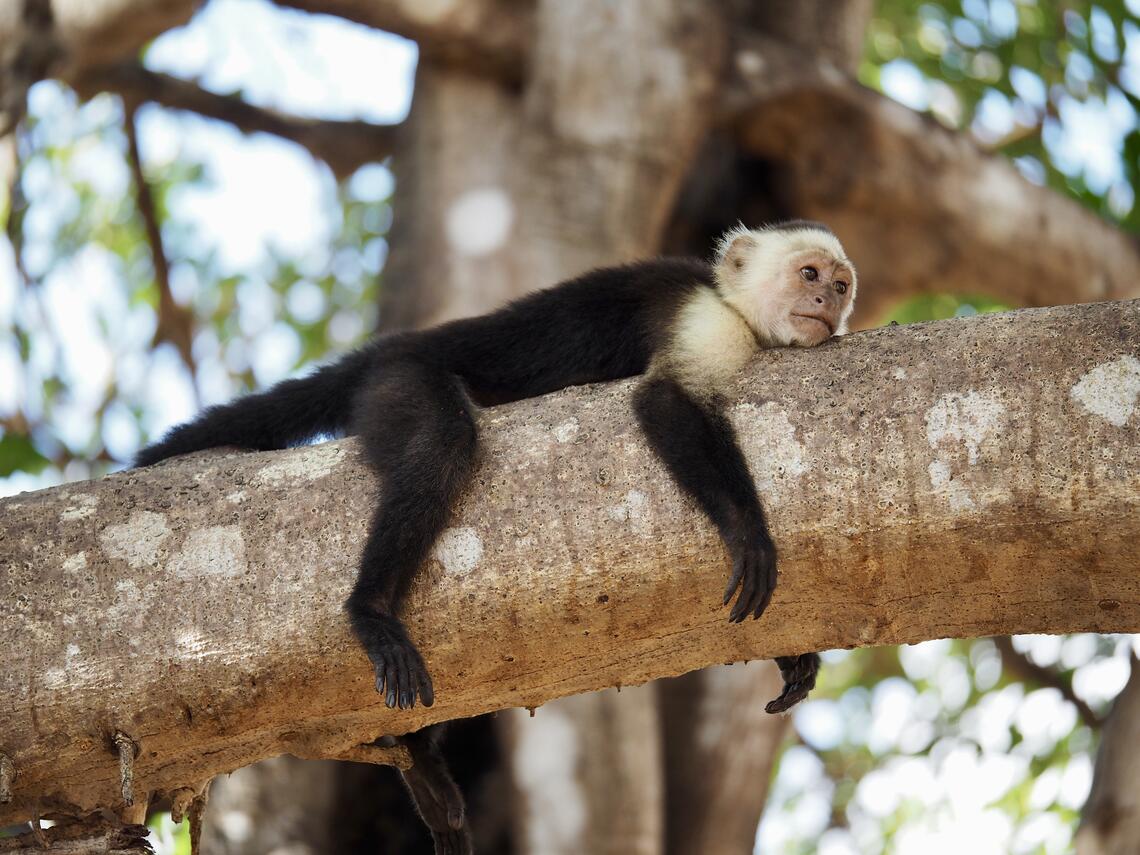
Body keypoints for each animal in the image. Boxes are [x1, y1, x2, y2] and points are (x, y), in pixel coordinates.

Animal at [137, 222, 857, 855]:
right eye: (810, 274)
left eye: (842, 284)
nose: (829, 302)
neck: (737, 306)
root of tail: (389, 348)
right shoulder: (705, 318)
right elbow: (667, 400)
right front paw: (749, 534)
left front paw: (793, 653)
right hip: (397, 383)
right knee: (441, 441)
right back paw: (370, 609)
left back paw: (423, 764)